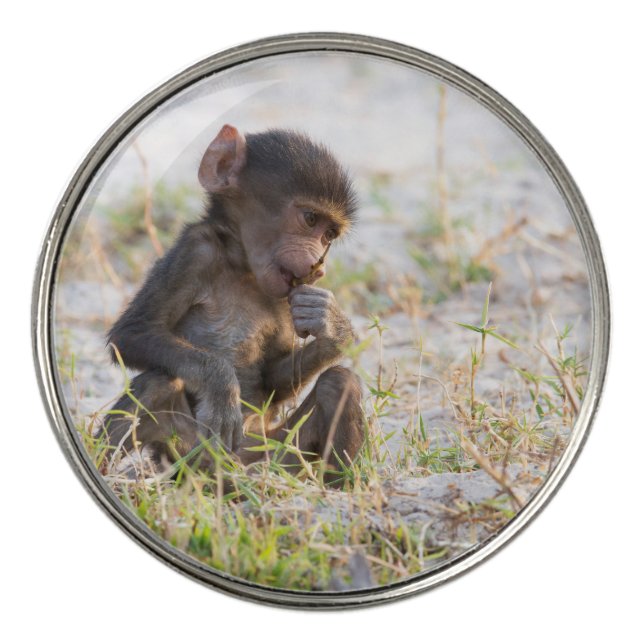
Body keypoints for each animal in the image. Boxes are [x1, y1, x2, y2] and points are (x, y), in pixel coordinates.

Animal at [101, 124, 364, 483]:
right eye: (310, 219)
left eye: (329, 235)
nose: (318, 267)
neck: (243, 269)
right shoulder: (196, 250)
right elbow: (131, 333)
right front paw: (222, 386)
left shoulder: (283, 296)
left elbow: (273, 377)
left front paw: (331, 326)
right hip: (189, 455)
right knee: (156, 383)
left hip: (278, 453)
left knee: (339, 382)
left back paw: (336, 487)